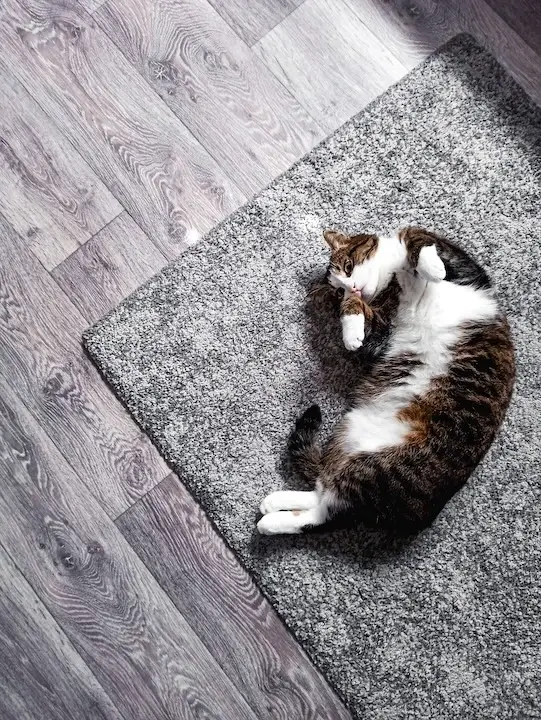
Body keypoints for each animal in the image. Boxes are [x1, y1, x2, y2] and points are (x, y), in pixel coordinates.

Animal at [258, 226, 516, 536]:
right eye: (339, 291)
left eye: (348, 267)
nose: (353, 288)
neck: (393, 280)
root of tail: (418, 518)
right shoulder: (381, 334)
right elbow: (358, 313)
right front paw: (351, 328)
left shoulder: (465, 268)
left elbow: (419, 240)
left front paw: (430, 267)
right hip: (366, 458)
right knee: (325, 509)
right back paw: (271, 516)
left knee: (326, 499)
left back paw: (272, 511)